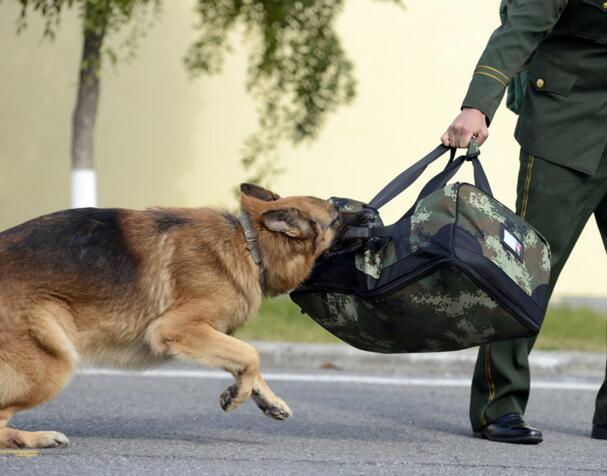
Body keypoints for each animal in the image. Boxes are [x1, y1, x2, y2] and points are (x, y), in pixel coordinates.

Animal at [0, 184, 344, 448]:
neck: (249, 243)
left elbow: (243, 360)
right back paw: (36, 438)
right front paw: (237, 397)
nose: (353, 207)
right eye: (337, 216)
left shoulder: (208, 334)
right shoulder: (176, 328)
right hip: (53, 364)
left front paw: (266, 399)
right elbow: (251, 355)